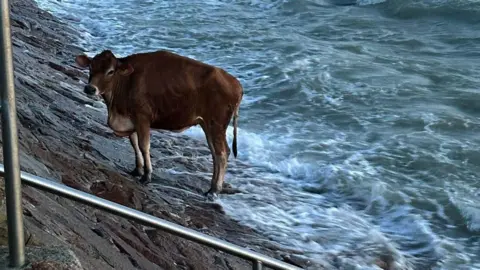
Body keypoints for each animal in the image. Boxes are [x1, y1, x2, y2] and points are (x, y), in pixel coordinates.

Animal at [76, 49, 244, 199]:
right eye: (91, 67)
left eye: (110, 71)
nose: (90, 88)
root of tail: (236, 84)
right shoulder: (132, 119)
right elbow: (134, 143)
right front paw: (137, 169)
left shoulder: (142, 117)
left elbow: (144, 145)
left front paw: (147, 176)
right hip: (207, 124)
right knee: (215, 153)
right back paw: (211, 188)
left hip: (216, 124)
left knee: (222, 153)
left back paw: (214, 190)